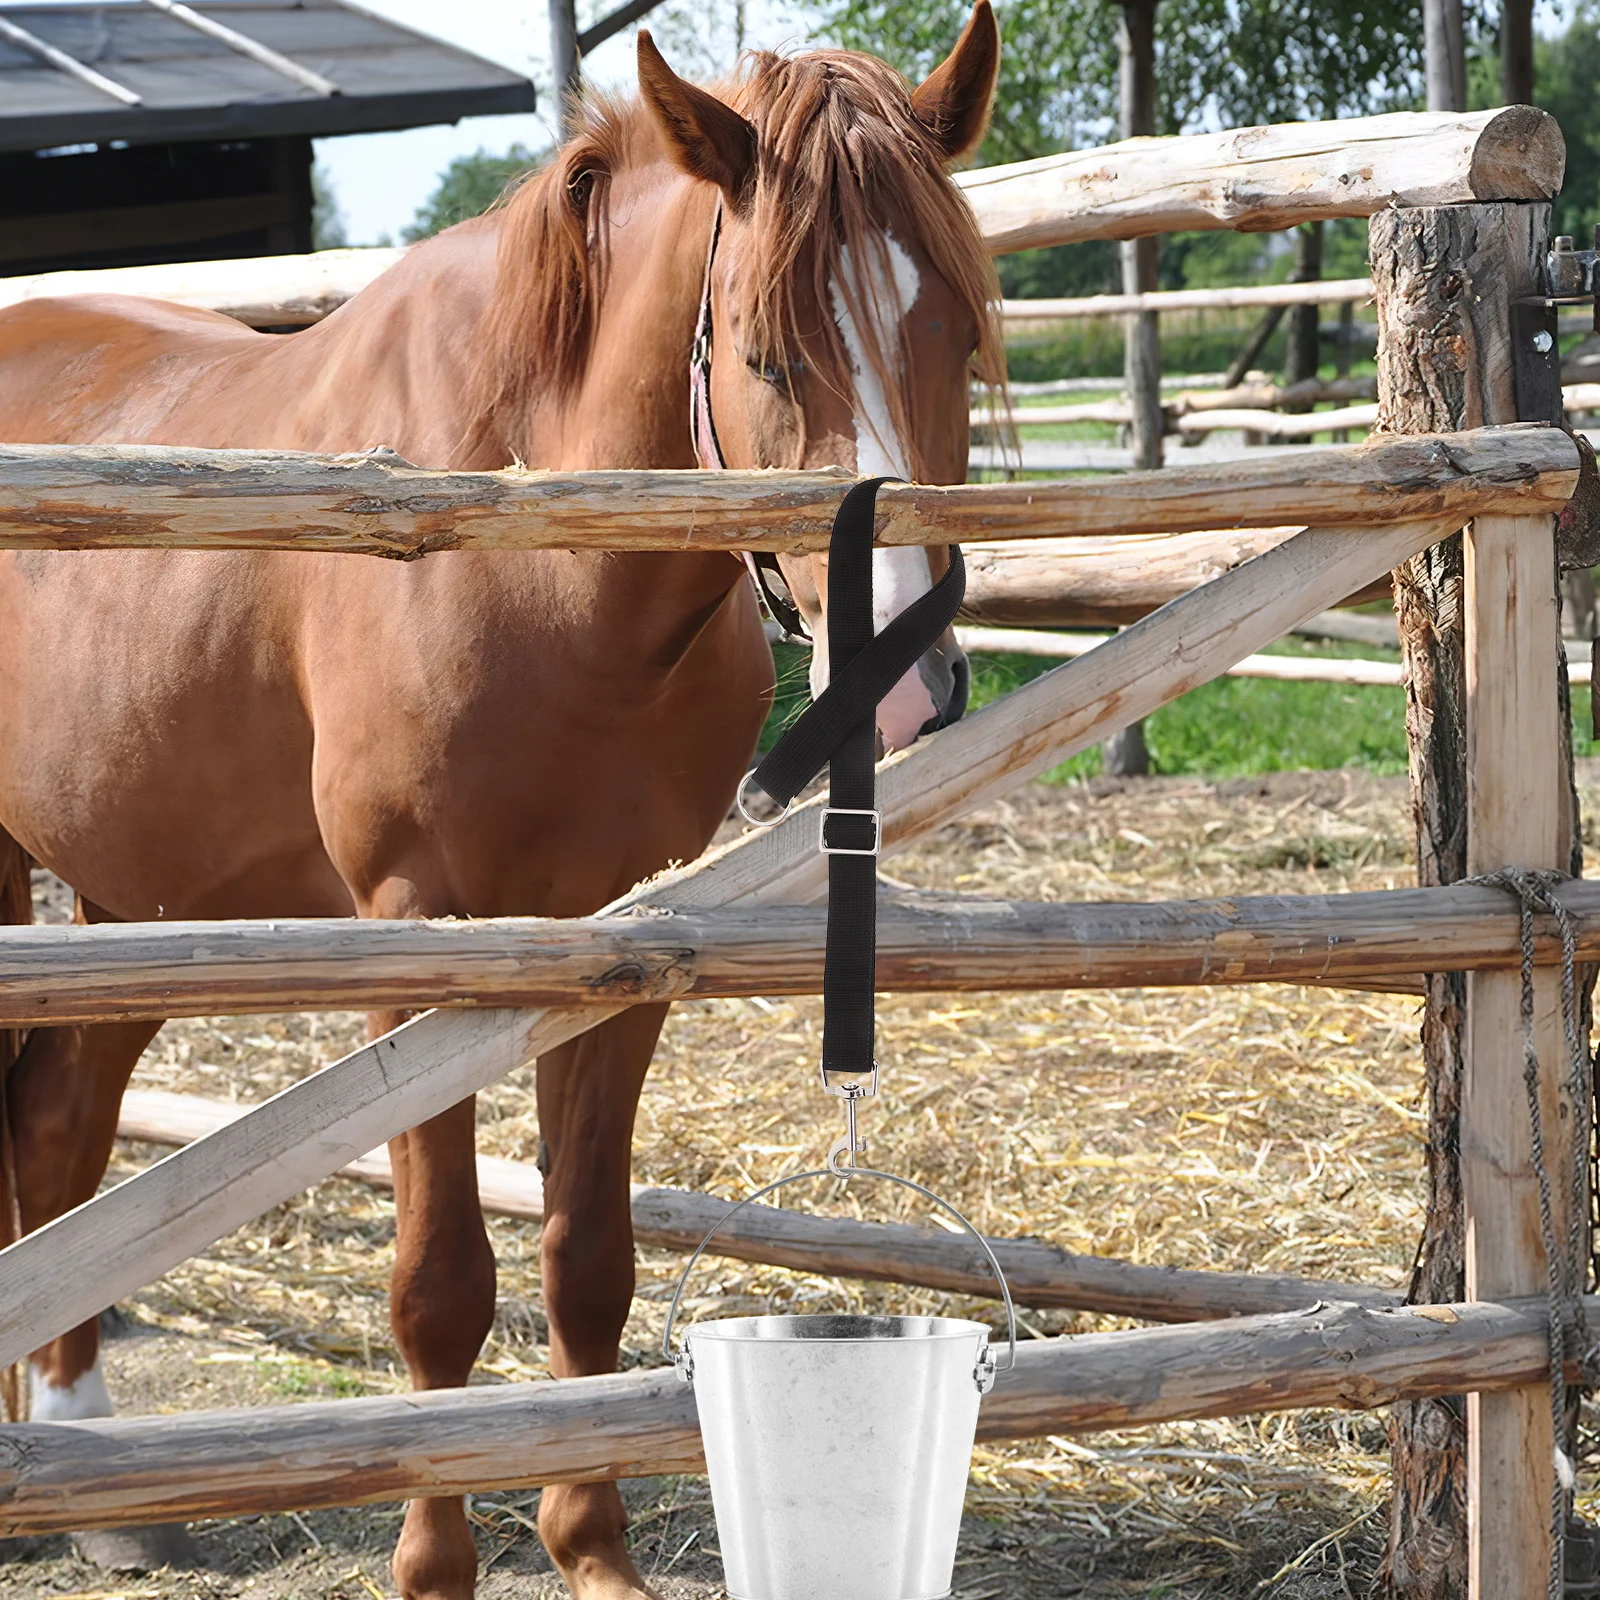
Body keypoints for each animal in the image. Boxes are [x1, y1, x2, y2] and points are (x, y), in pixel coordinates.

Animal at [0, 9, 1003, 1597]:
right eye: (768, 353)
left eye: (957, 332)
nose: (905, 684)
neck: (537, 555)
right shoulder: (418, 938)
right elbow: (439, 1284)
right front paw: (434, 1562)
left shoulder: (621, 947)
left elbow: (585, 1259)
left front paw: (592, 1551)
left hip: (134, 891)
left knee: (56, 1125)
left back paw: (95, 1466)